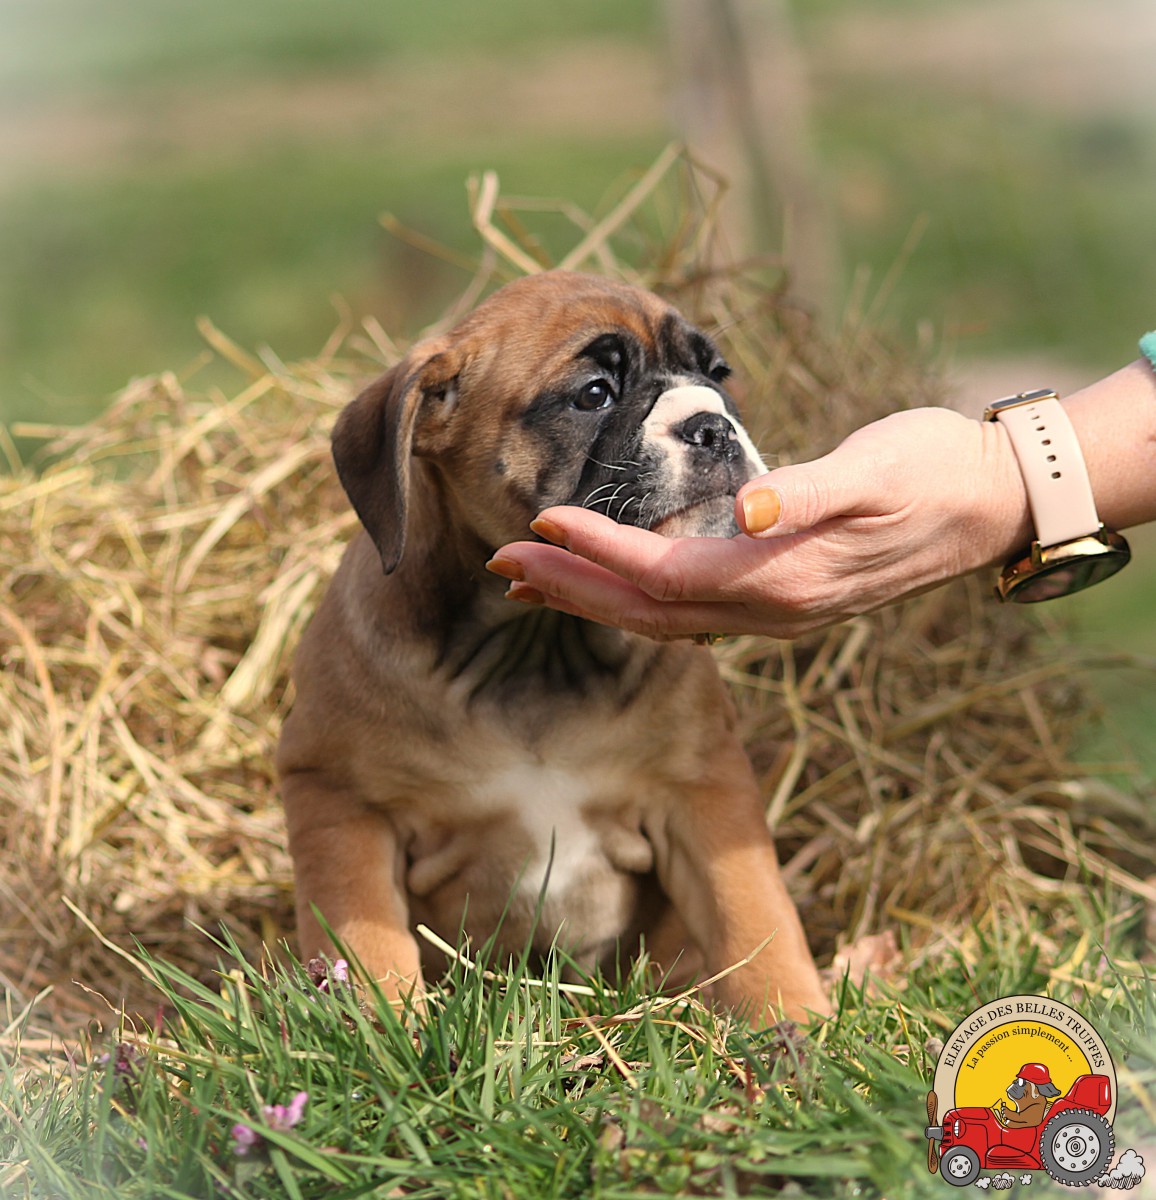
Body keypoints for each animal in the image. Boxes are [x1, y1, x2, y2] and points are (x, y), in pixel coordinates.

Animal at [276, 271, 827, 1024]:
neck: (537, 644)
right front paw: (379, 1022)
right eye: (593, 393)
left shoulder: (705, 789)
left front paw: (793, 1012)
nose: (714, 426)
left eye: (716, 376)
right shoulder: (338, 797)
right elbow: (361, 931)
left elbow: (751, 907)